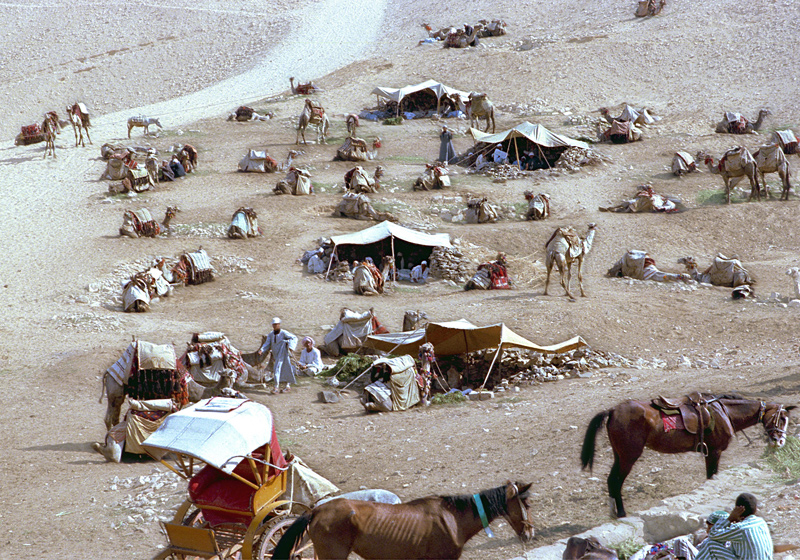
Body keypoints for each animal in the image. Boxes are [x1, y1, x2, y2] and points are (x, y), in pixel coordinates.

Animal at [580, 392, 792, 520]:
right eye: (781, 418)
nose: (780, 441)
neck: (724, 412)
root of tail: (612, 410)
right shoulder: (714, 452)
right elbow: (712, 476)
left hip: (619, 455)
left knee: (611, 481)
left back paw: (614, 513)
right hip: (628, 457)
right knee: (616, 481)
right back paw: (621, 513)